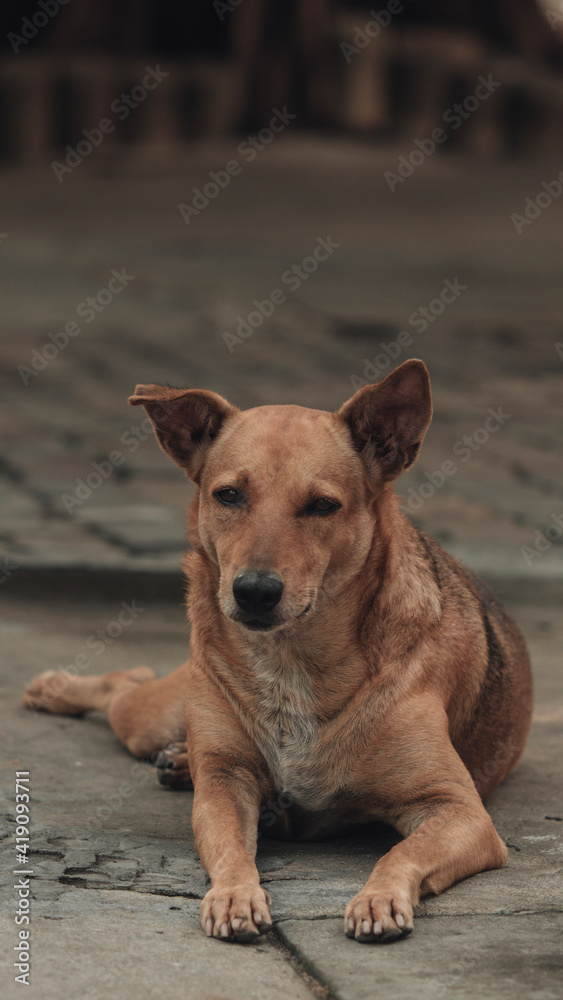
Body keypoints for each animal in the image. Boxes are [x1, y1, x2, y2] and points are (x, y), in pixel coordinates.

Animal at [22, 360, 532, 944]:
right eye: (228, 495)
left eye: (323, 506)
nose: (255, 591)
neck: (292, 661)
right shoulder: (223, 791)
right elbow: (230, 847)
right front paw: (234, 894)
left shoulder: (461, 811)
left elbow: (400, 853)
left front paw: (379, 897)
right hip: (157, 716)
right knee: (126, 686)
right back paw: (66, 694)